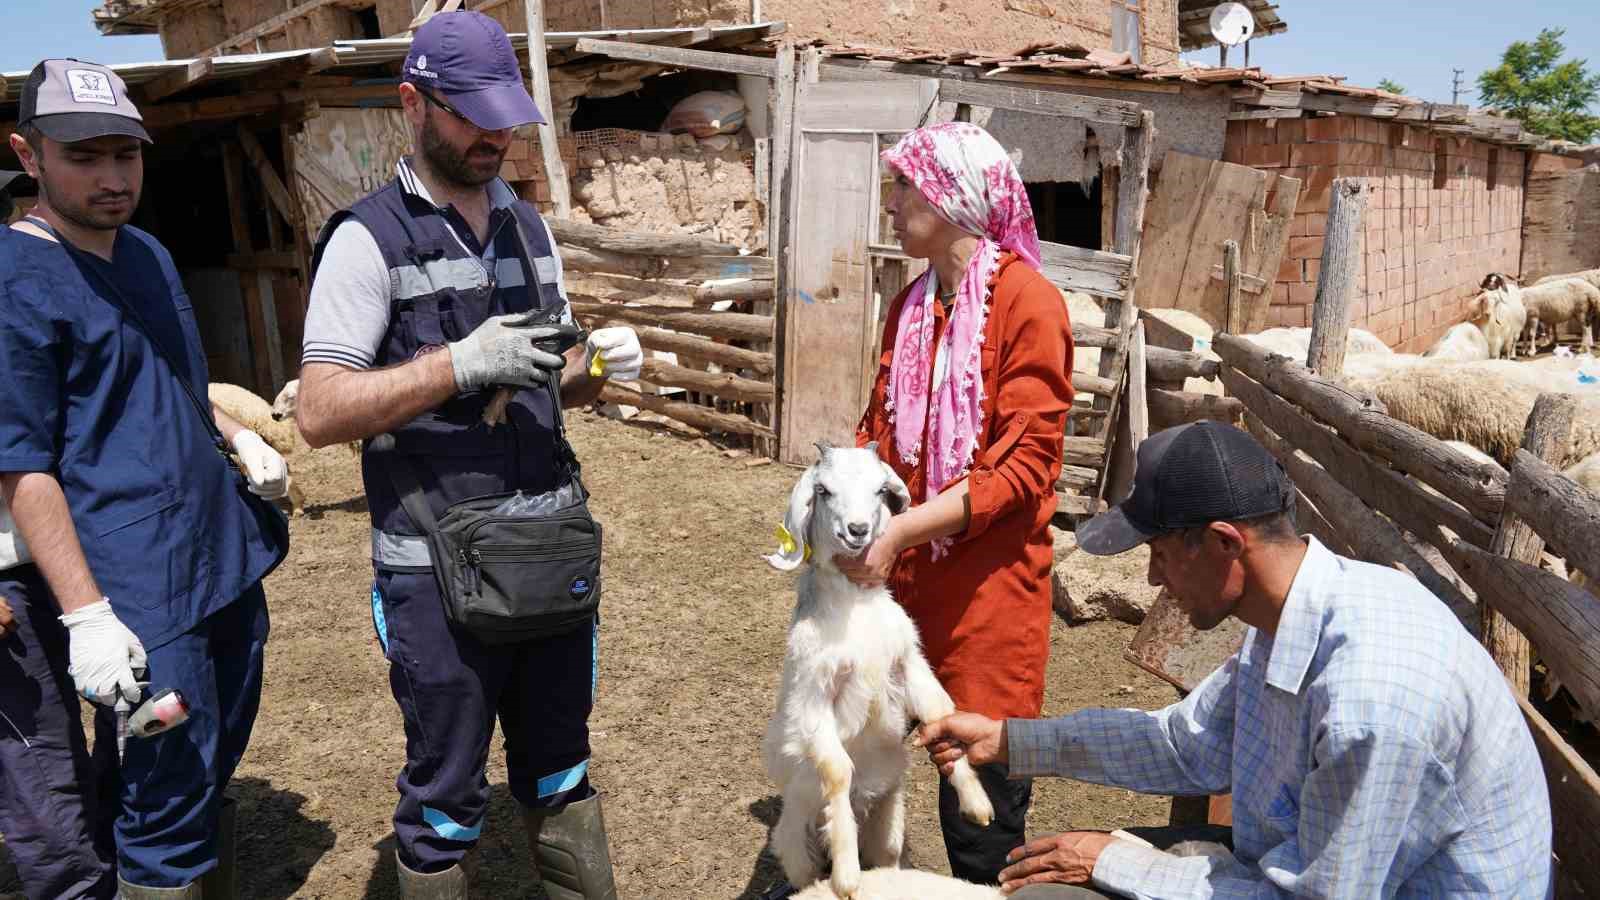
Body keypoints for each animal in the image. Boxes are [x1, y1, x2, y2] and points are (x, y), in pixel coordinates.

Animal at [758, 441, 985, 896]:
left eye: (881, 488)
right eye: (823, 490)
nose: (858, 529)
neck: (855, 609)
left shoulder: (909, 663)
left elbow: (941, 714)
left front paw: (976, 803)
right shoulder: (815, 693)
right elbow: (837, 771)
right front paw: (847, 876)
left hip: (889, 826)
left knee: (887, 858)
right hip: (795, 838)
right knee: (805, 871)